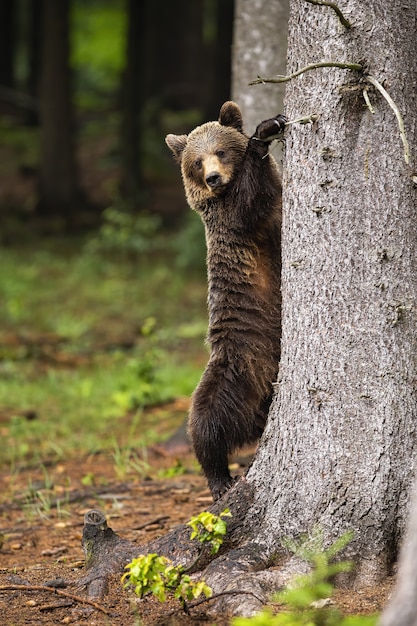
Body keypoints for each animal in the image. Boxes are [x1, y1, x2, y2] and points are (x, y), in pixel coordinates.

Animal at [164, 100, 284, 498]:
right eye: (197, 162)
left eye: (219, 151)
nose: (214, 178)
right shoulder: (236, 221)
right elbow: (250, 200)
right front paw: (264, 132)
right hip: (234, 368)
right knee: (206, 421)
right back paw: (220, 480)